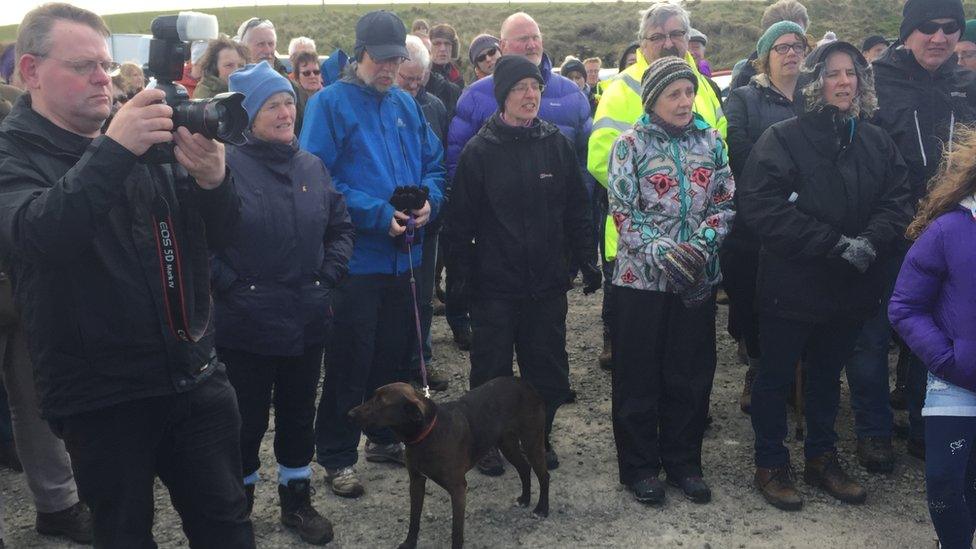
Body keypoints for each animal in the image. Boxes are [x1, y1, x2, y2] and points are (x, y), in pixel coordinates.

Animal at [350, 376, 548, 548]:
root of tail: (525, 383)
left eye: (381, 402)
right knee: (524, 468)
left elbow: (456, 531)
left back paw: (542, 509)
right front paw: (409, 543)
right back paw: (525, 499)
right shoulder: (416, 482)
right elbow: (414, 519)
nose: (350, 413)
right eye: (373, 396)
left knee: (544, 475)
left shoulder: (458, 489)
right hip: (507, 444)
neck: (427, 435)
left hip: (532, 441)